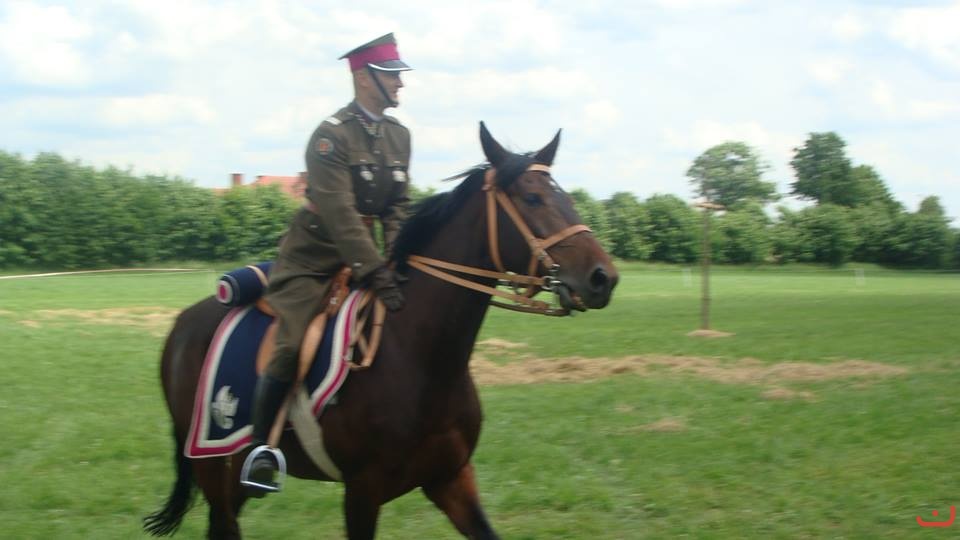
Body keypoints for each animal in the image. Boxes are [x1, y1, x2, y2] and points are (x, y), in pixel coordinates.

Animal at [143, 122, 619, 539]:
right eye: (533, 198)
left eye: (566, 197)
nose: (604, 278)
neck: (419, 357)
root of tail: (184, 321)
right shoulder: (362, 492)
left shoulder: (451, 479)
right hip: (209, 461)